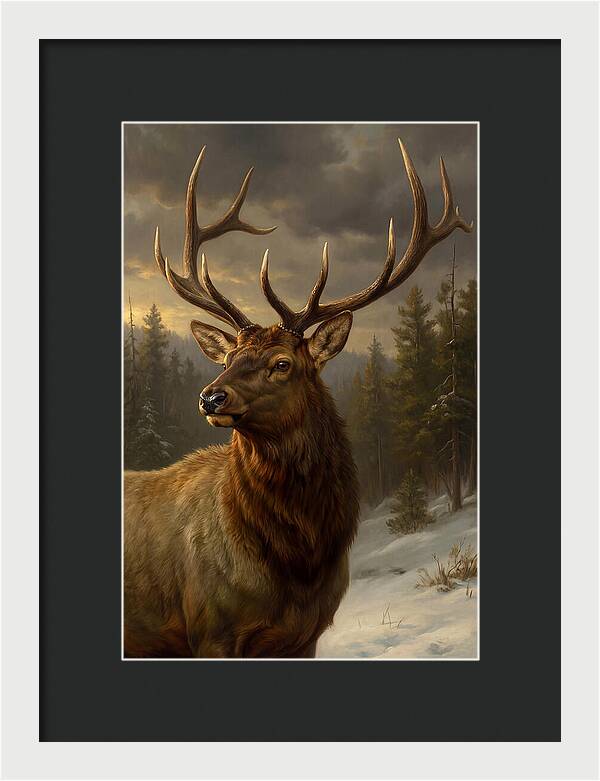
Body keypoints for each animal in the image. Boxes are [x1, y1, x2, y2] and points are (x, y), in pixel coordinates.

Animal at [124, 140, 473, 658]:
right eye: (227, 356)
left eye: (283, 363)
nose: (210, 398)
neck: (297, 564)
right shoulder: (209, 630)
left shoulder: (305, 634)